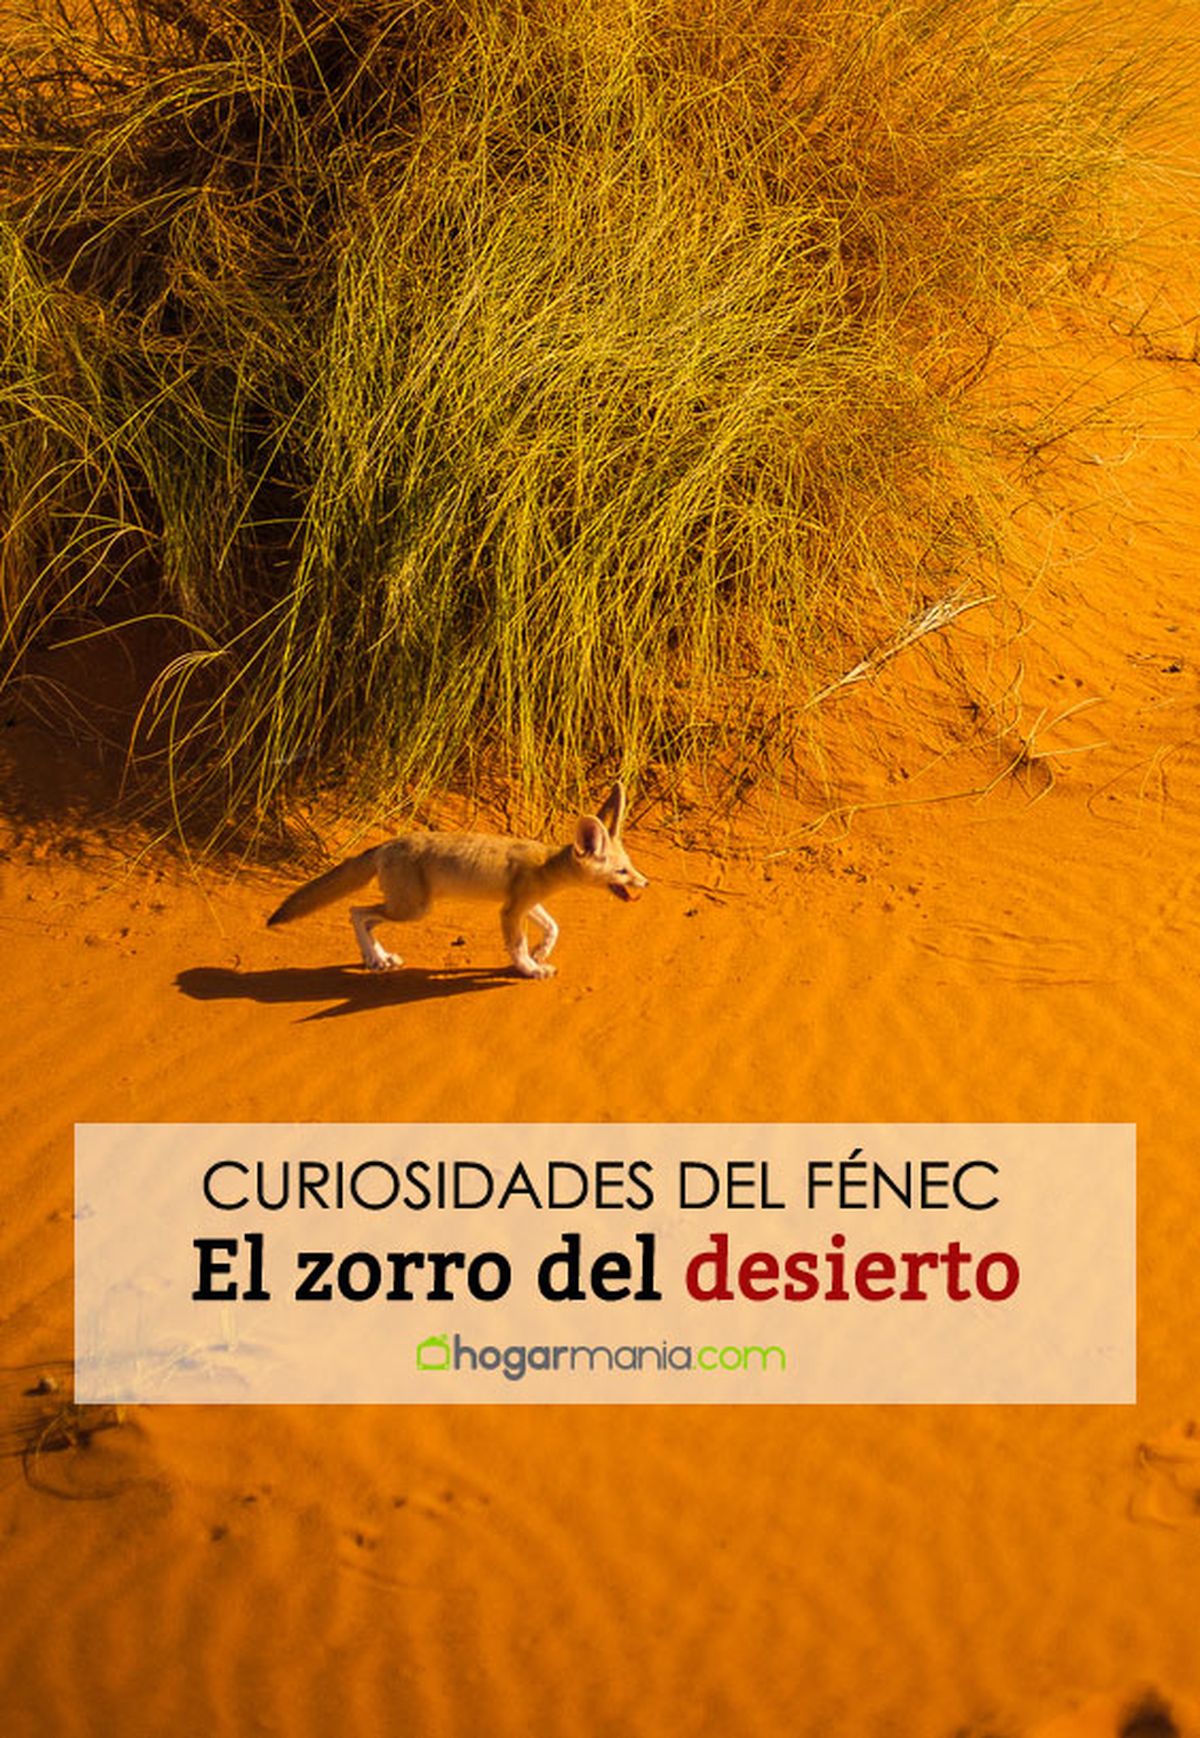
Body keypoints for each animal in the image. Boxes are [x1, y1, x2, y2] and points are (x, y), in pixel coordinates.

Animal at [266, 782, 647, 979]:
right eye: (622, 872)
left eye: (630, 866)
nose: (645, 884)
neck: (545, 865)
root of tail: (385, 844)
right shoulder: (510, 911)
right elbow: (517, 945)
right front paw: (529, 968)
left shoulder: (524, 903)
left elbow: (553, 927)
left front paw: (540, 952)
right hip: (413, 909)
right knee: (356, 911)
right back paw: (374, 960)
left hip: (405, 907)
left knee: (365, 918)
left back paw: (379, 958)